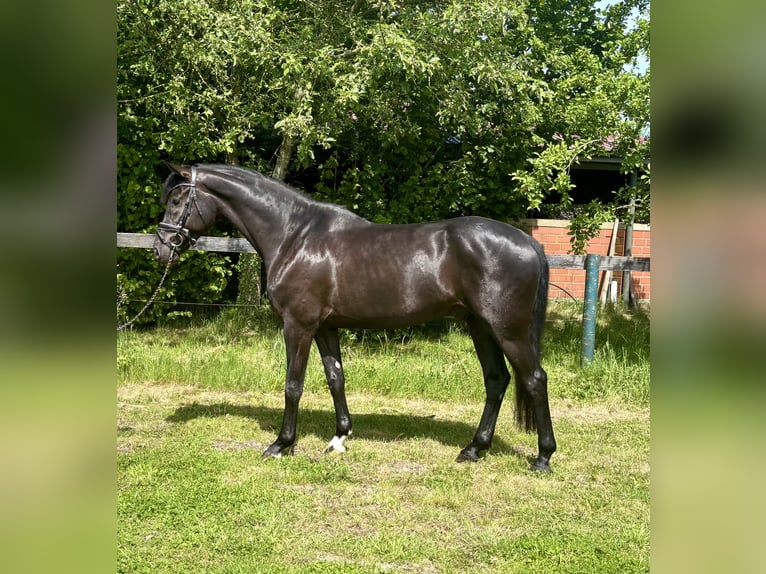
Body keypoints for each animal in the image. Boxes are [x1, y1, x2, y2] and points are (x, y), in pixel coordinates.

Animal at [153, 163, 557, 471]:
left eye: (176, 200)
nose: (161, 249)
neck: (294, 235)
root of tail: (528, 241)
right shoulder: (325, 327)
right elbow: (336, 378)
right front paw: (340, 437)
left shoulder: (298, 326)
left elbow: (293, 385)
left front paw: (281, 444)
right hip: (480, 326)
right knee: (496, 380)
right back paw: (474, 449)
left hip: (508, 330)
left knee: (534, 380)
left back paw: (543, 457)